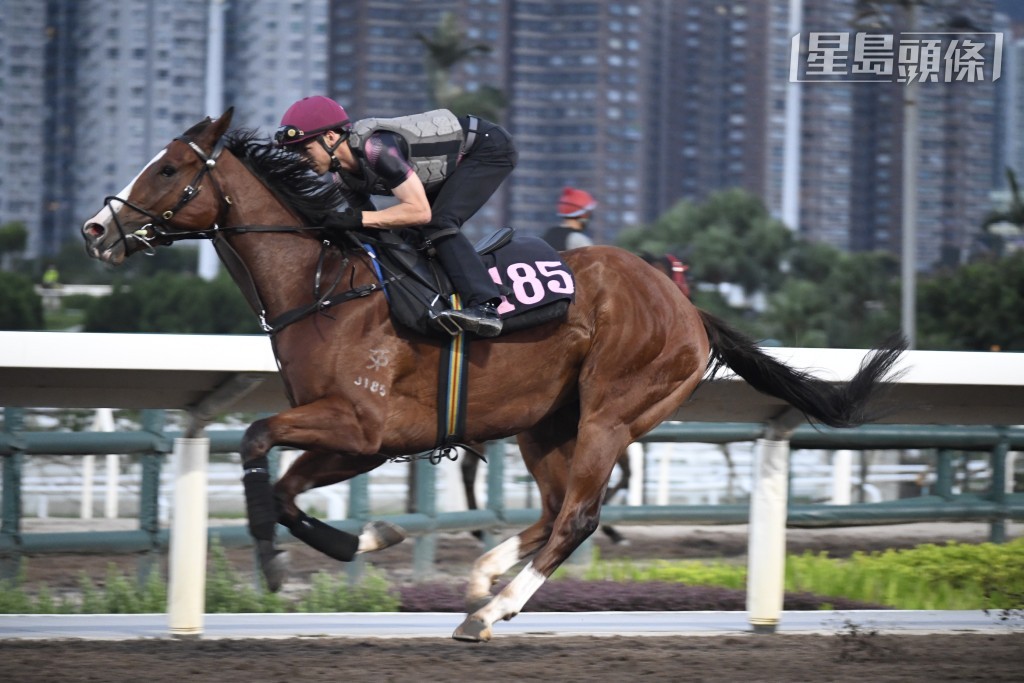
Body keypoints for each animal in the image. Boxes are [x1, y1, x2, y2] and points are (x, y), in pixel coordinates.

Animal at [81, 111, 905, 643]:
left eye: (170, 168)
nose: (96, 228)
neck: (327, 285)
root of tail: (687, 306)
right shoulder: (354, 440)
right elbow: (285, 489)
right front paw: (367, 538)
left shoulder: (362, 426)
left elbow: (255, 442)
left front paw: (275, 563)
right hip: (547, 422)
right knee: (555, 508)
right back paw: (483, 579)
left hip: (612, 411)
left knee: (578, 515)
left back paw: (490, 611)